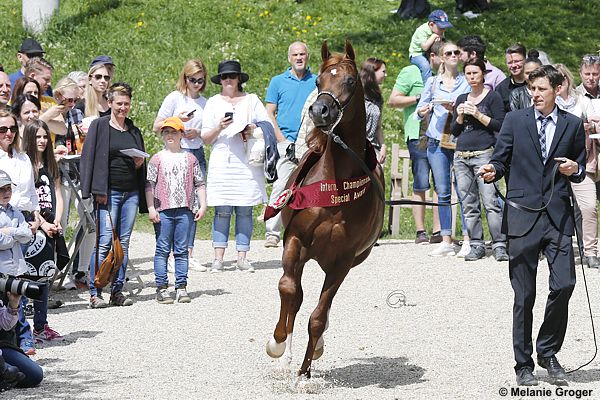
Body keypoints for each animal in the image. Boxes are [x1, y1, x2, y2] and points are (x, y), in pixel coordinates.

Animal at [266, 41, 384, 378]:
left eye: (350, 80)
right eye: (318, 82)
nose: (320, 110)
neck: (336, 185)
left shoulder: (342, 261)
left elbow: (319, 316)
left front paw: (304, 374)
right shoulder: (295, 241)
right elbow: (288, 289)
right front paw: (278, 342)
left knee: (322, 308)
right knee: (296, 295)